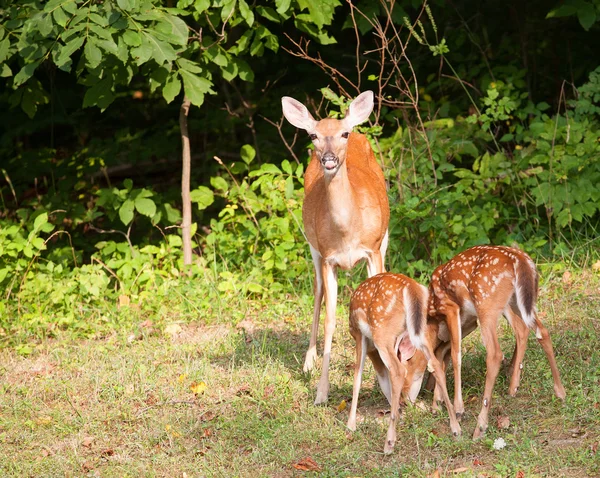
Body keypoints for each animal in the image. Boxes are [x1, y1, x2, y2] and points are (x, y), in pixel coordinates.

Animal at [282, 90, 390, 404]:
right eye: (313, 135)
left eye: (343, 133)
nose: (328, 159)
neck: (346, 232)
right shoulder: (329, 257)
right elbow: (331, 318)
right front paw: (321, 391)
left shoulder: (372, 249)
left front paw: (380, 380)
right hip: (313, 248)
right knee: (317, 293)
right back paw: (308, 362)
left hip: (385, 239)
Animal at [344, 272, 462, 452]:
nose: (404, 403)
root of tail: (411, 287)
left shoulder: (360, 336)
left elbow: (358, 377)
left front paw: (350, 426)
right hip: (419, 330)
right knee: (435, 365)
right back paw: (456, 429)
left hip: (382, 331)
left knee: (398, 370)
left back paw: (389, 443)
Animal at [404, 248, 568, 438]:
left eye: (406, 366)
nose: (403, 400)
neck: (433, 316)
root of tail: (520, 259)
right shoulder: (468, 322)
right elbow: (442, 354)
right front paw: (437, 404)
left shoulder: (452, 309)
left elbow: (454, 355)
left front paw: (457, 409)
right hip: (518, 301)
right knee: (541, 332)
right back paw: (559, 392)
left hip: (487, 304)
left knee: (496, 352)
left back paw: (481, 426)